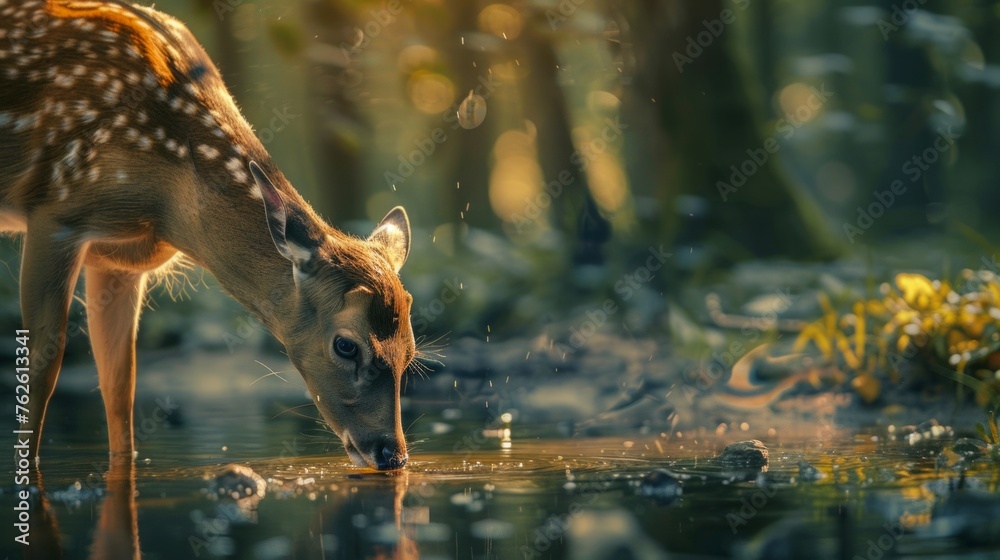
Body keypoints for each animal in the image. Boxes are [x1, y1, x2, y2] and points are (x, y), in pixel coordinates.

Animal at [1, 0, 415, 471]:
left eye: (411, 351)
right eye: (346, 345)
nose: (392, 452)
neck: (167, 204)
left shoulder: (119, 261)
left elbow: (120, 387)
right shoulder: (54, 213)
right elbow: (42, 369)